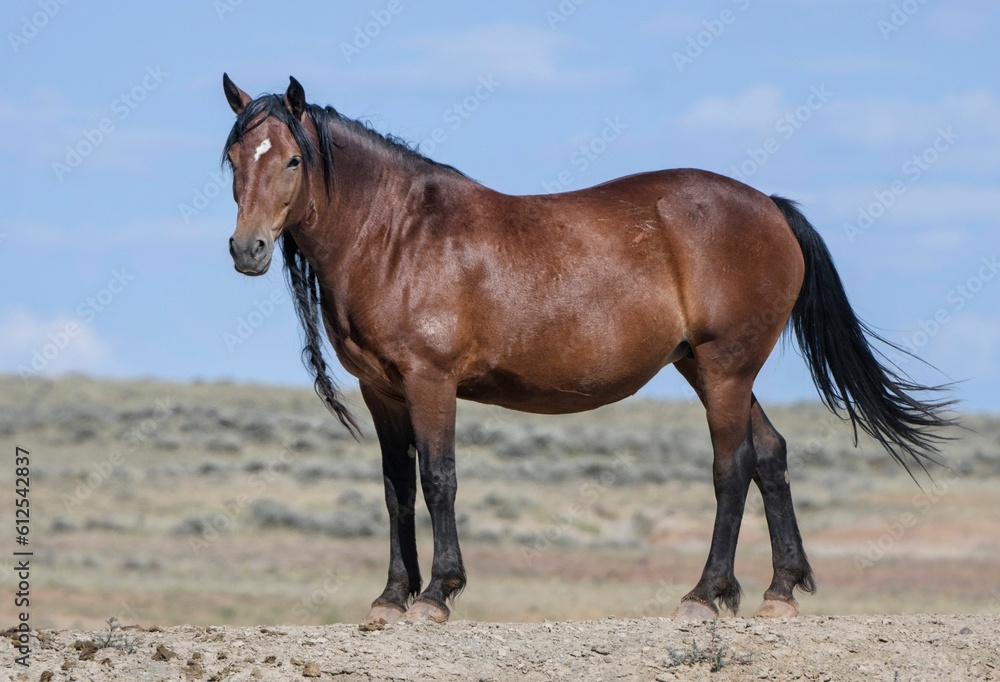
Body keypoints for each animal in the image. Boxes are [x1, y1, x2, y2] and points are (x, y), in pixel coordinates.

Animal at [219, 74, 952, 620]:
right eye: (233, 159)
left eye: (292, 159)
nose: (247, 249)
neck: (398, 234)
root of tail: (769, 206)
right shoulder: (382, 390)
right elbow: (397, 487)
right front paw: (392, 596)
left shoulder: (431, 381)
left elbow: (438, 479)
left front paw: (437, 594)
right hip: (707, 367)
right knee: (770, 455)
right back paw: (780, 588)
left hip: (725, 367)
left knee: (733, 467)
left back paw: (705, 593)